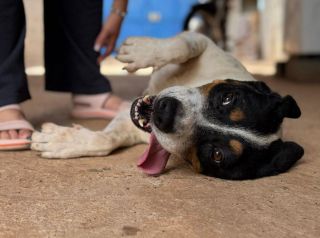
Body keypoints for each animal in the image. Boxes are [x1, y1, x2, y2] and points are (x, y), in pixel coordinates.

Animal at [31, 32, 304, 180]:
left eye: (216, 155)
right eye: (228, 98)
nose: (165, 111)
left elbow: (107, 140)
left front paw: (61, 141)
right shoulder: (205, 43)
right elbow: (183, 46)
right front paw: (141, 51)